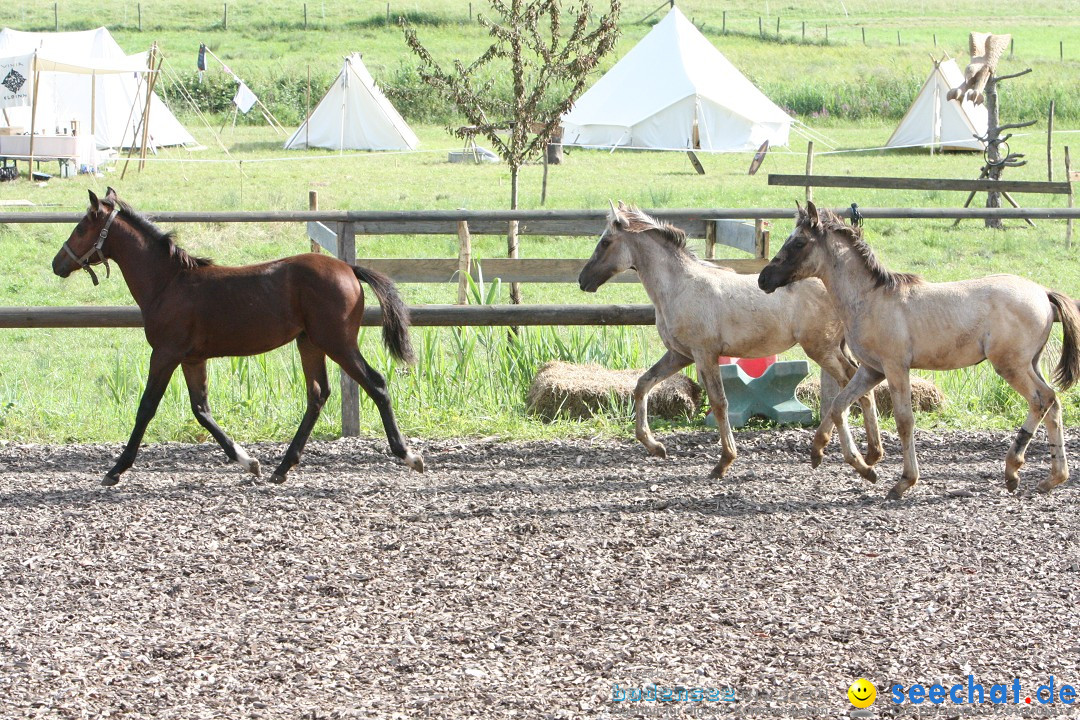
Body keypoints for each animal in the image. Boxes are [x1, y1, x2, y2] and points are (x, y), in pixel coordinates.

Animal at [54, 188, 423, 487]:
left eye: (81, 227)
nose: (58, 263)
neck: (168, 283)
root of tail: (349, 269)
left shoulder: (165, 353)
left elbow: (146, 408)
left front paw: (115, 470)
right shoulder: (192, 358)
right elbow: (201, 409)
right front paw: (250, 462)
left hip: (338, 342)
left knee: (375, 384)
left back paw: (408, 455)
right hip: (309, 342)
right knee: (318, 394)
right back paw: (282, 468)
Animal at [760, 199, 1080, 498]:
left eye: (798, 242)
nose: (764, 278)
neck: (870, 300)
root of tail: (1044, 293)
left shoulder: (895, 367)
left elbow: (904, 421)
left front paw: (904, 481)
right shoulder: (871, 370)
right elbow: (840, 405)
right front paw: (853, 464)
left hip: (1010, 364)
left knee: (1041, 399)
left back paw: (1013, 469)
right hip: (1031, 363)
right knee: (1053, 403)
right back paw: (1052, 478)